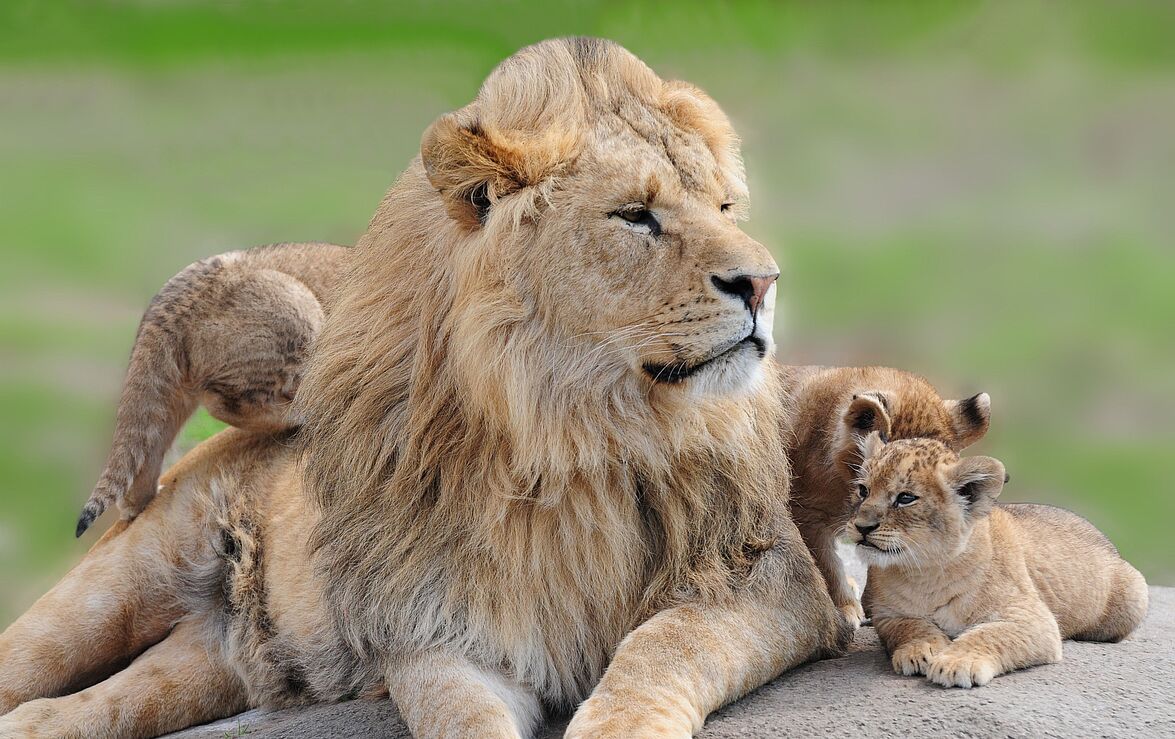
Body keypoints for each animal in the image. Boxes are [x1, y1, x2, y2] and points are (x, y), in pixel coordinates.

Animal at [0, 38, 845, 737]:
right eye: (635, 215)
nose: (763, 282)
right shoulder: (435, 626)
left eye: (725, 207)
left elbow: (659, 650)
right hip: (108, 593)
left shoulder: (767, 578)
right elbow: (461, 716)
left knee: (65, 714)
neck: (575, 434)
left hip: (200, 667)